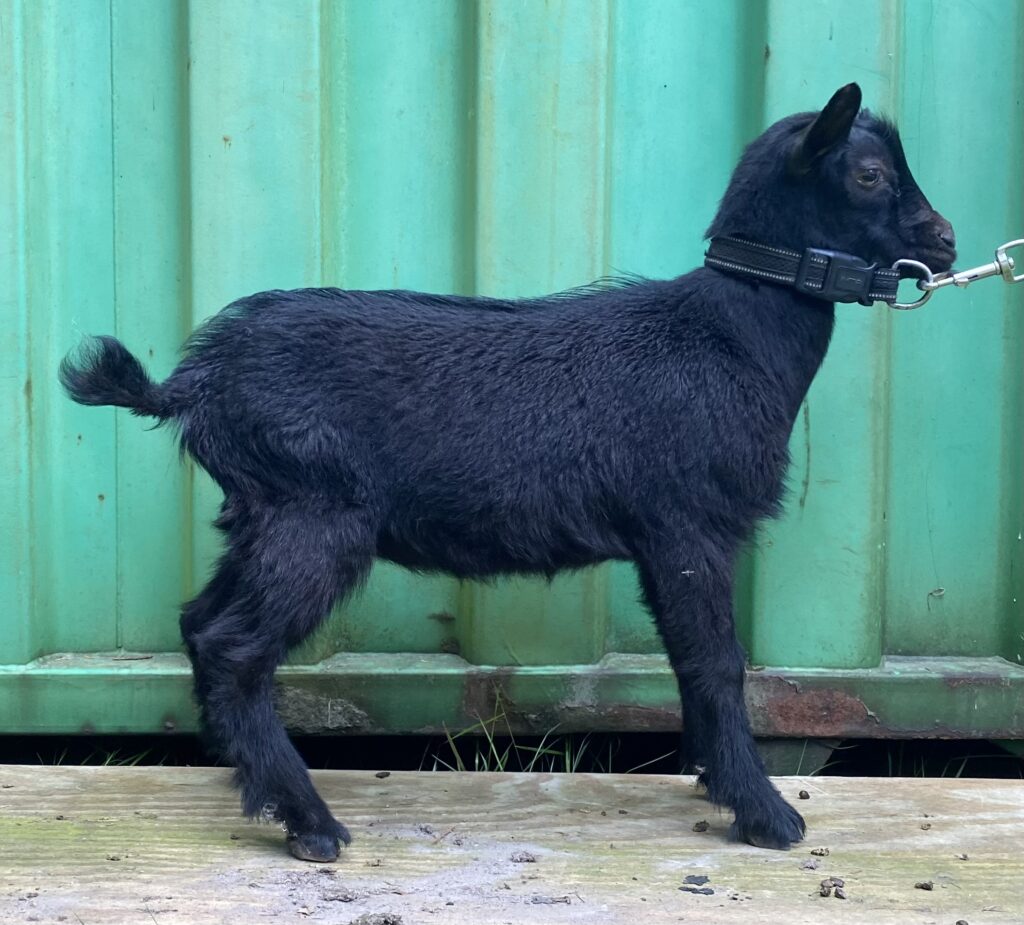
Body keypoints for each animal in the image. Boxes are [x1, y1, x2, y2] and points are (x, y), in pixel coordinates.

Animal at [60, 84, 955, 861]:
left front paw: (714, 780)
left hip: (259, 515)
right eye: (869, 173)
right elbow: (718, 662)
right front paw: (763, 811)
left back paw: (248, 781)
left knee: (198, 622)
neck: (731, 333)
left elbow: (687, 661)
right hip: (312, 515)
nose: (944, 239)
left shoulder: (663, 538)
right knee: (235, 646)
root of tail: (195, 381)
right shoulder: (688, 521)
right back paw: (309, 820)